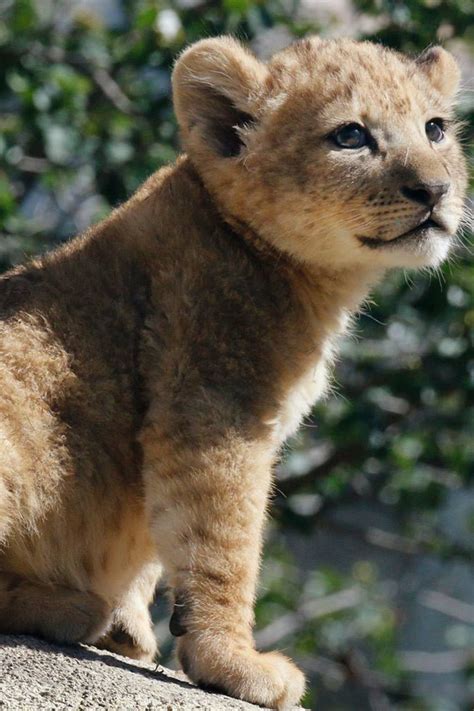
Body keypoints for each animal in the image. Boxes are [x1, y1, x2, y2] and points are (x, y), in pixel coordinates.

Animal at [0, 36, 467, 709]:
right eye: (351, 135)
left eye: (435, 128)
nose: (435, 190)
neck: (319, 287)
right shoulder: (212, 400)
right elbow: (222, 538)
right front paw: (233, 662)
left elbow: (153, 538)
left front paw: (131, 629)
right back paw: (69, 607)